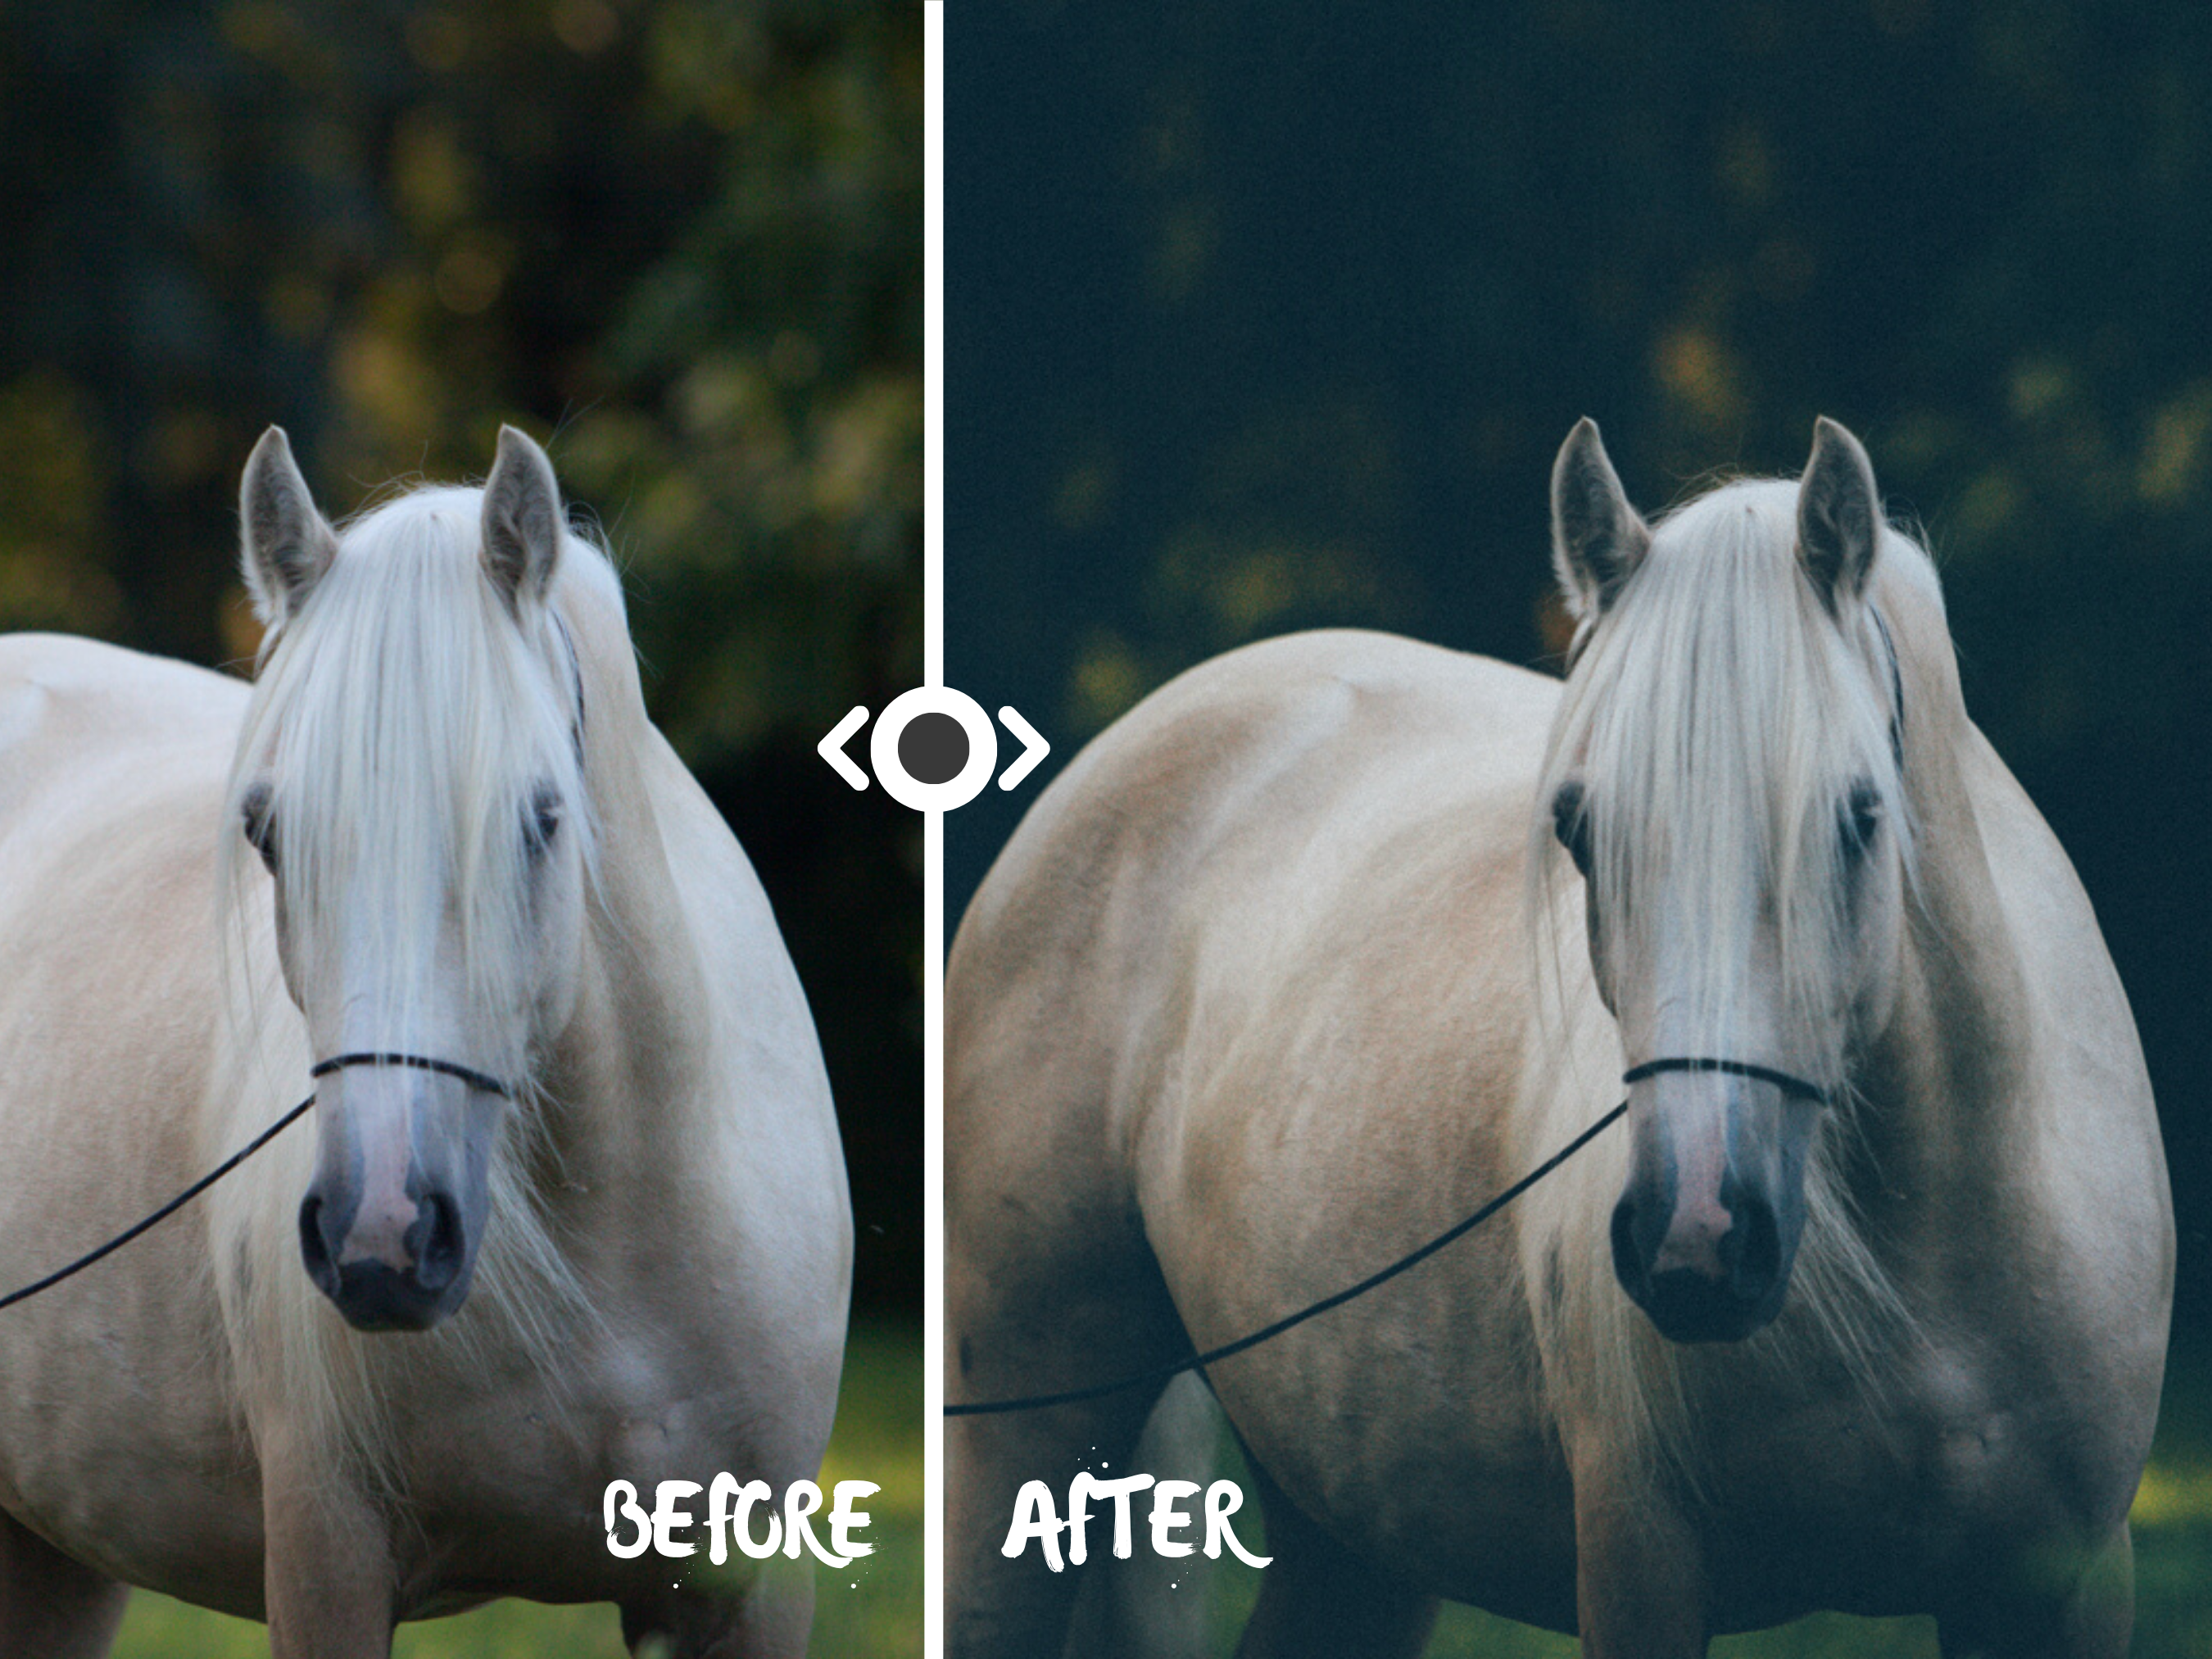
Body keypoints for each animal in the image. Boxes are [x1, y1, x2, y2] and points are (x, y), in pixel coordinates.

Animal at [946, 418, 2172, 1658]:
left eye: (1860, 817)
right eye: (1581, 829)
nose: (1697, 1237)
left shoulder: (2066, 1586)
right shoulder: (1641, 1565)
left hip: (1353, 1535)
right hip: (1014, 1430)